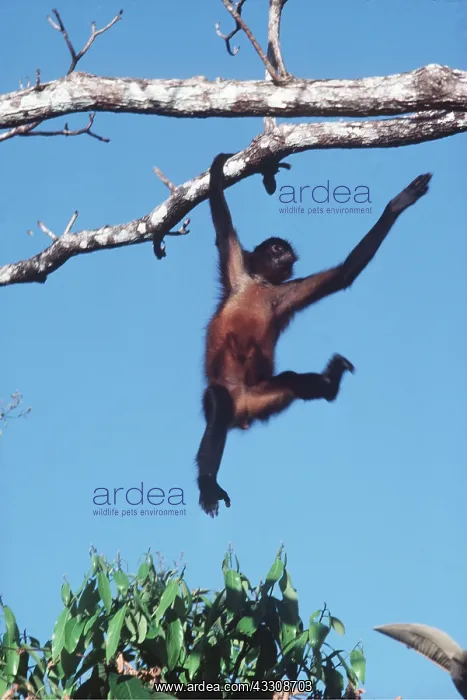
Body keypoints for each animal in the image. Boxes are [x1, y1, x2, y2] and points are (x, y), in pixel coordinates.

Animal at [196, 153, 432, 517]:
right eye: (276, 249)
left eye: (285, 252)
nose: (287, 255)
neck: (261, 285)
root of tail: (243, 410)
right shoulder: (238, 274)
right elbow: (222, 223)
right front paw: (220, 167)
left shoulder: (283, 295)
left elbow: (342, 276)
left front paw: (397, 204)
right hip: (227, 398)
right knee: (219, 404)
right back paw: (208, 482)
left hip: (265, 397)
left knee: (292, 380)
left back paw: (329, 385)